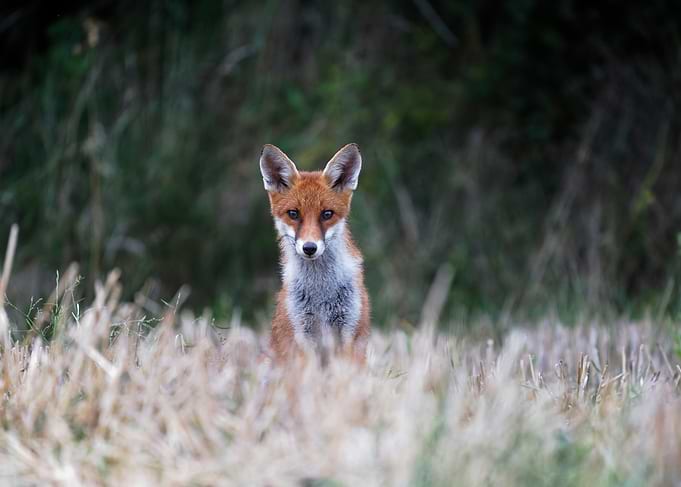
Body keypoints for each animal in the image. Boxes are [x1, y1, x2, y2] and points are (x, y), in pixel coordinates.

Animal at [259, 143, 370, 363]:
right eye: (293, 214)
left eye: (327, 214)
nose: (309, 248)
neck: (321, 292)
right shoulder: (302, 331)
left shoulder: (349, 331)